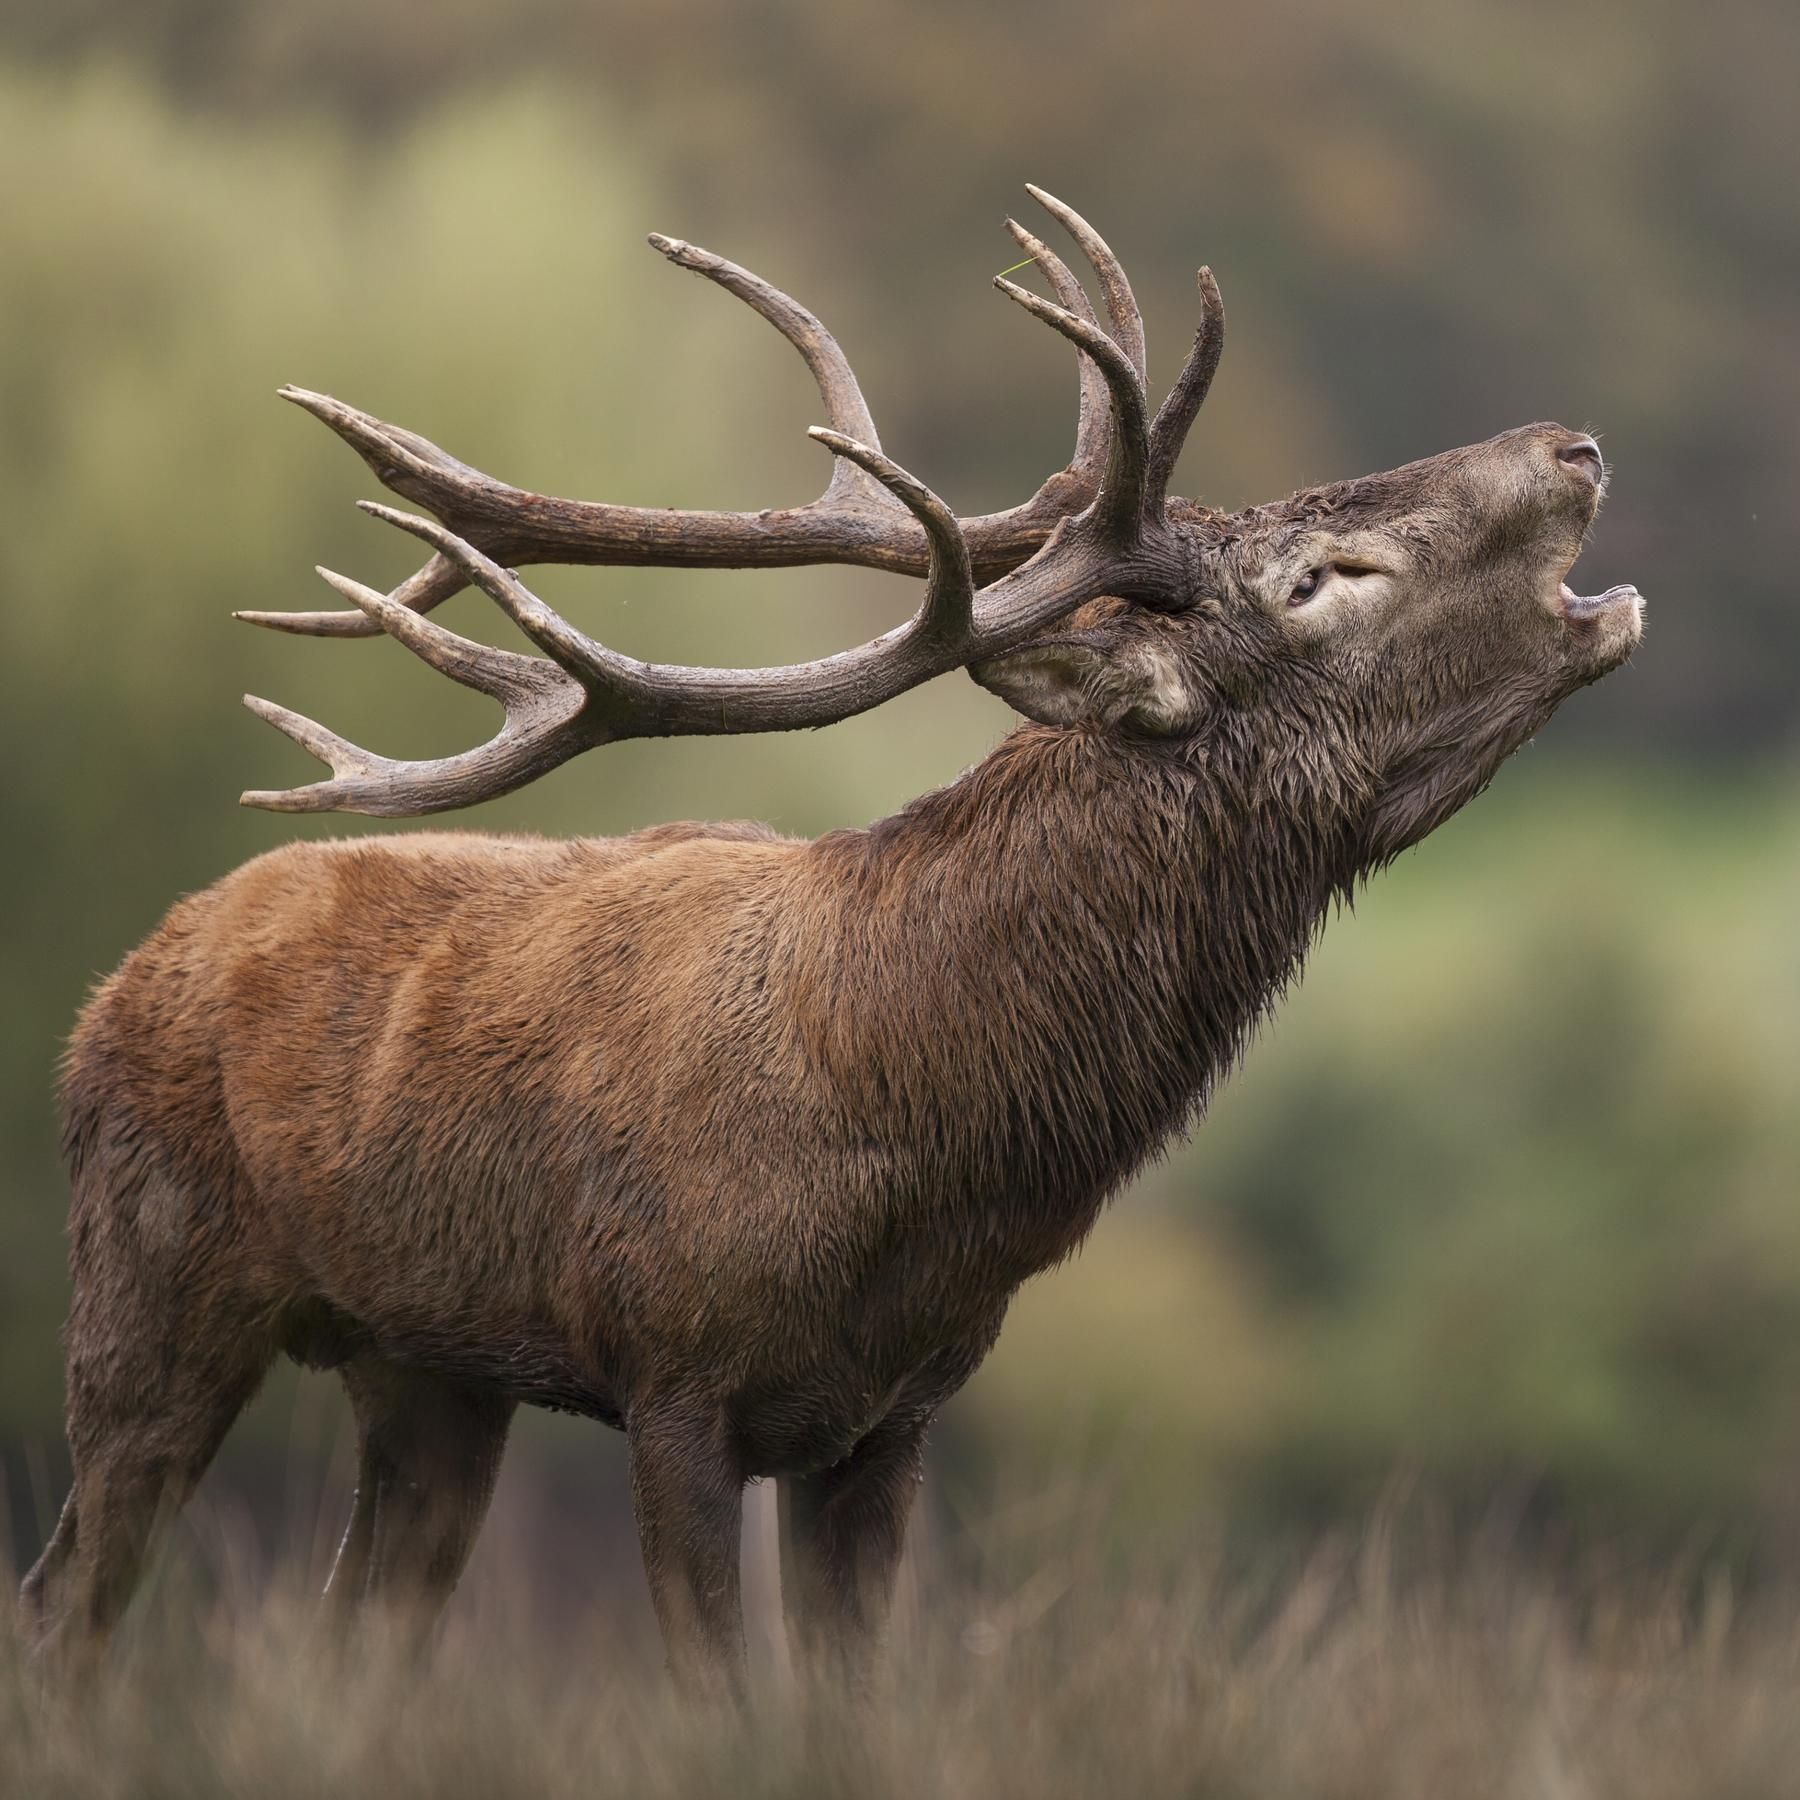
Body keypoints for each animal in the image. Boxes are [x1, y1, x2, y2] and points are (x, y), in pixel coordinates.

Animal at [20, 188, 1642, 1696]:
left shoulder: (891, 1417)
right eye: (1325, 579)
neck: (917, 1141)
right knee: (67, 1601)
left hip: (422, 1370)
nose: (1574, 447)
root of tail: (116, 986)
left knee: (351, 1634)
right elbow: (718, 1701)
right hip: (148, 1285)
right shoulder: (673, 1378)